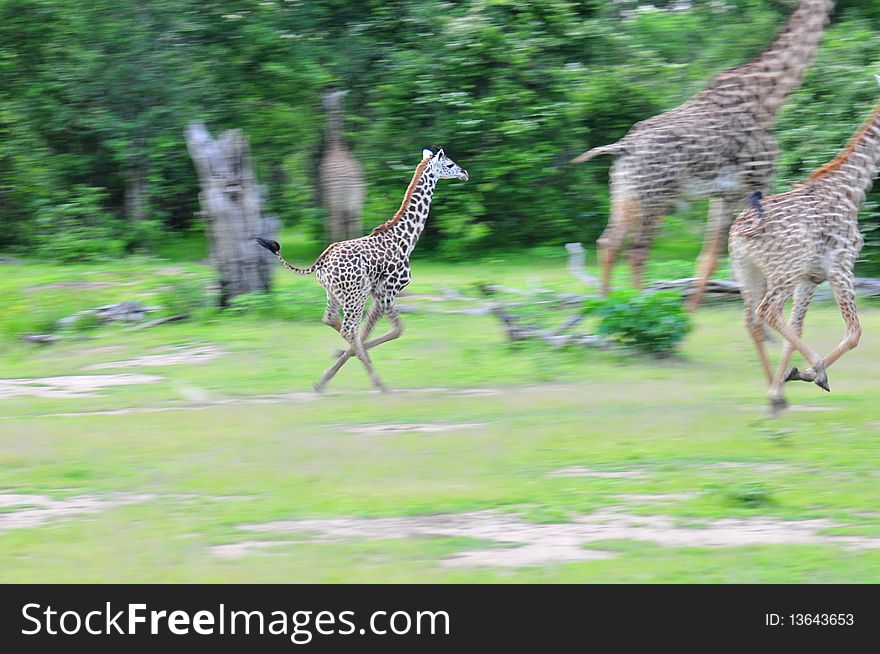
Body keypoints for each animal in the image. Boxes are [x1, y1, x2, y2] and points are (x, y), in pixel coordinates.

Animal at [258, 147, 470, 394]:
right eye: (450, 164)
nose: (465, 173)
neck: (406, 238)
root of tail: (321, 263)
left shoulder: (378, 292)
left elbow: (376, 330)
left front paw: (333, 366)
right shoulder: (388, 291)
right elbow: (396, 330)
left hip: (335, 294)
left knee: (332, 320)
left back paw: (333, 374)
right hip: (355, 295)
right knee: (348, 329)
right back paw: (377, 382)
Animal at [728, 77, 880, 416]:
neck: (851, 190)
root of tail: (739, 232)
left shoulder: (810, 278)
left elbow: (795, 330)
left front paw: (788, 378)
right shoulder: (840, 266)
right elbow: (854, 332)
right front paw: (811, 372)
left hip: (749, 273)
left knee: (752, 320)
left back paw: (775, 396)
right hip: (782, 273)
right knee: (766, 311)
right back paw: (796, 382)